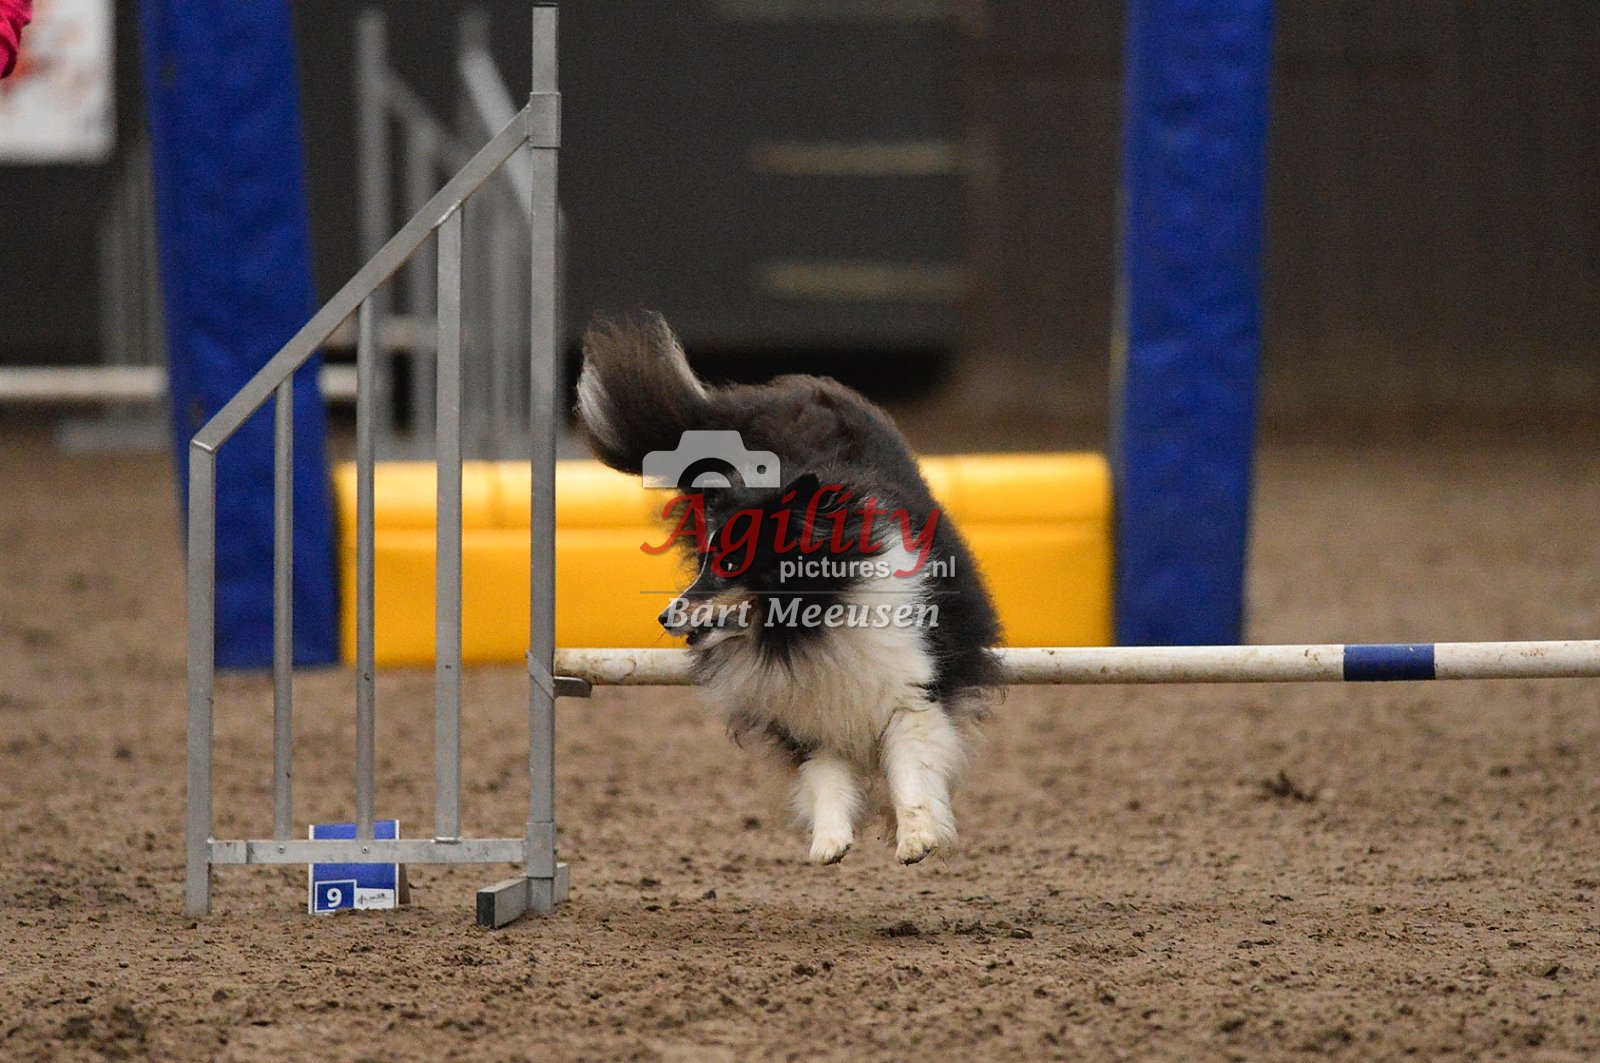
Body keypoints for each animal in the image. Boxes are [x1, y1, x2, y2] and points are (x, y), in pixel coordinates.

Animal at [576, 313, 1002, 865]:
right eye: (704, 558)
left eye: (731, 562)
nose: (665, 617)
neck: (809, 629)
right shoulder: (802, 713)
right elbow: (824, 774)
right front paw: (830, 841)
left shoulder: (911, 684)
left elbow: (910, 762)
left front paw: (915, 837)